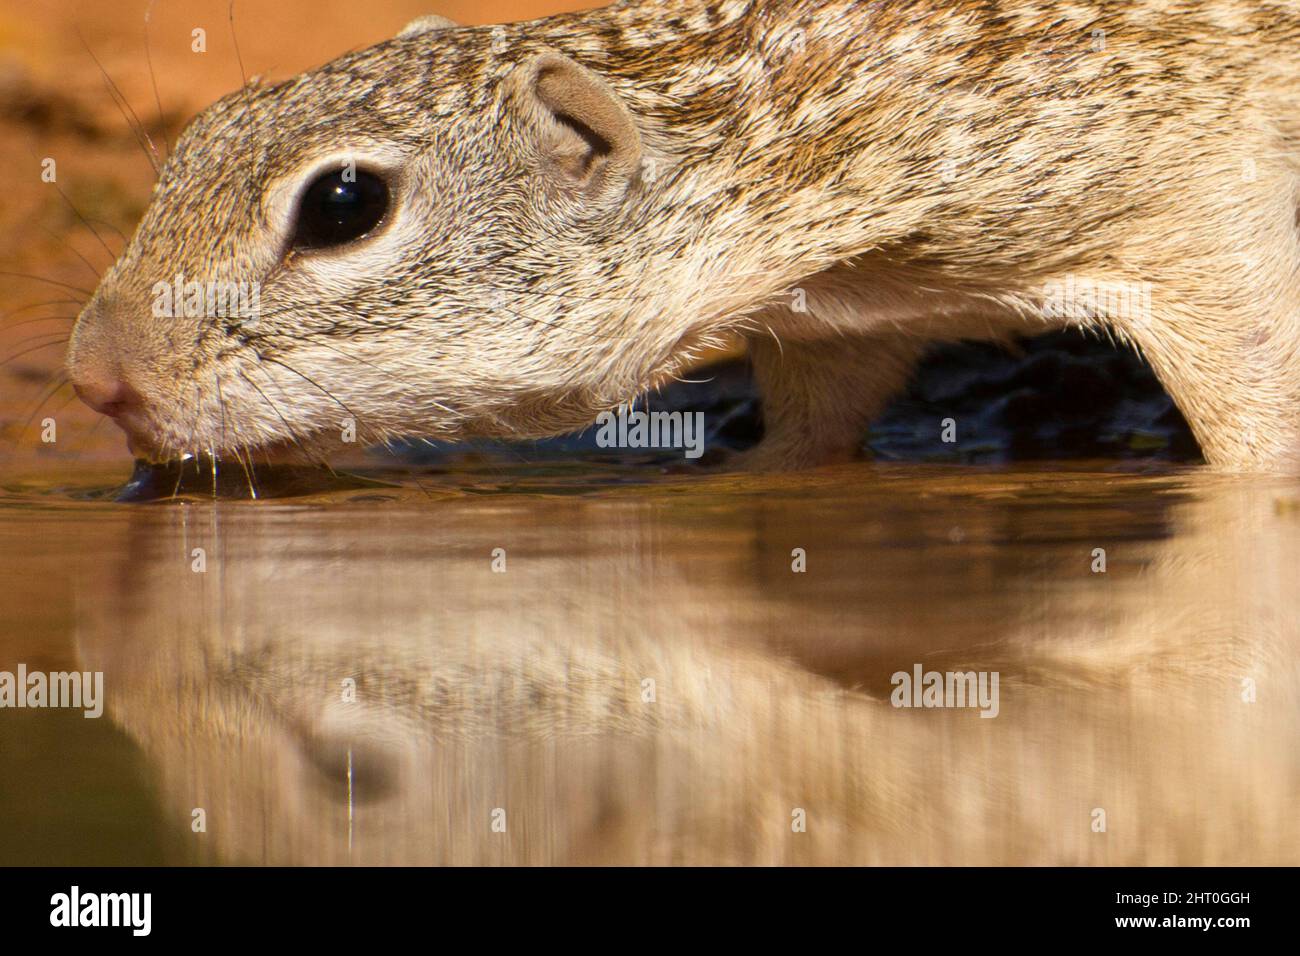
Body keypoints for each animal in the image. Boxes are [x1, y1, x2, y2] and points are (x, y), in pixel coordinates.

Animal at [65, 0, 1300, 470]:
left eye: (343, 204)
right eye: (197, 136)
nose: (92, 376)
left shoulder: (1190, 198)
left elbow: (1254, 427)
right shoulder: (843, 319)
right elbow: (811, 434)